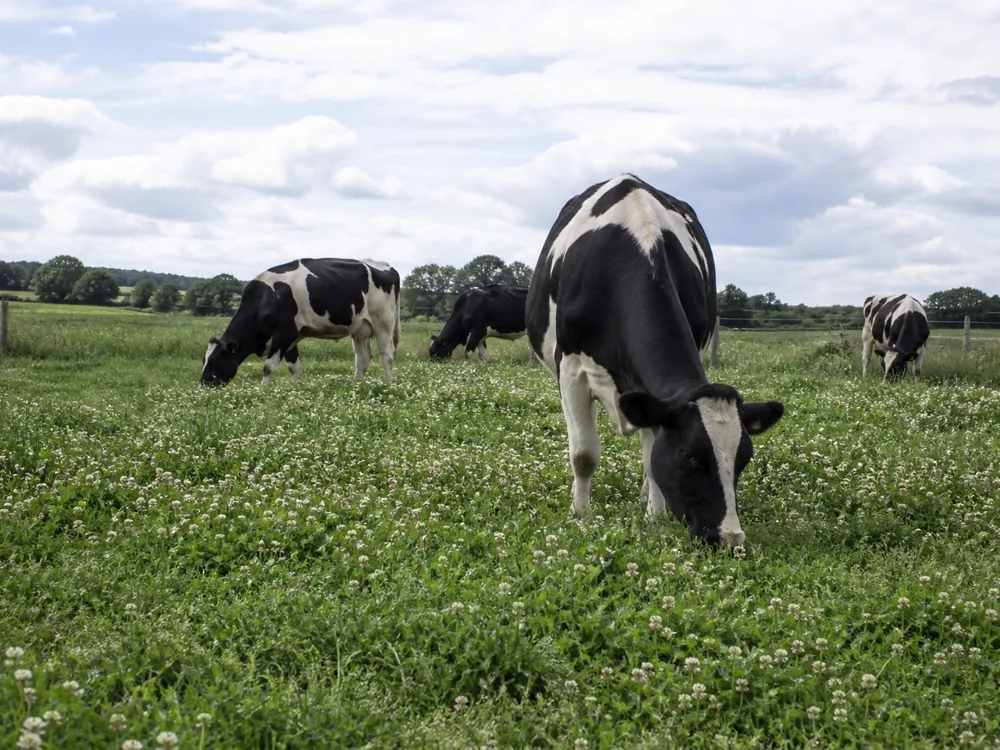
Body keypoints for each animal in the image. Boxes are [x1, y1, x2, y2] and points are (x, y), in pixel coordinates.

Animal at [201, 257, 401, 387]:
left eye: (215, 361)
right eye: (204, 360)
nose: (203, 385)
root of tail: (386, 266)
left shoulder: (284, 333)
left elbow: (268, 367)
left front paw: (262, 390)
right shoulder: (292, 337)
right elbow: (293, 367)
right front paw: (296, 390)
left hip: (383, 322)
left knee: (387, 355)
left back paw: (388, 384)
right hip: (359, 329)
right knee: (362, 358)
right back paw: (356, 385)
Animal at [526, 174, 784, 548]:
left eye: (744, 458)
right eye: (690, 456)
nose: (730, 537)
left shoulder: (653, 394)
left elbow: (651, 457)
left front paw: (654, 517)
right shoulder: (571, 370)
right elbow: (584, 454)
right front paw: (581, 514)